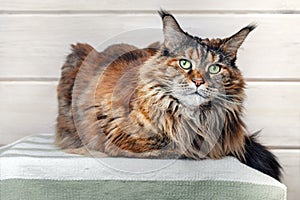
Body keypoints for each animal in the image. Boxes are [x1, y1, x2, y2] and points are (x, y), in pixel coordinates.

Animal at [55, 10, 282, 180]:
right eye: (185, 64)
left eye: (215, 68)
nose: (198, 81)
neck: (194, 118)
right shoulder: (114, 130)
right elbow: (172, 146)